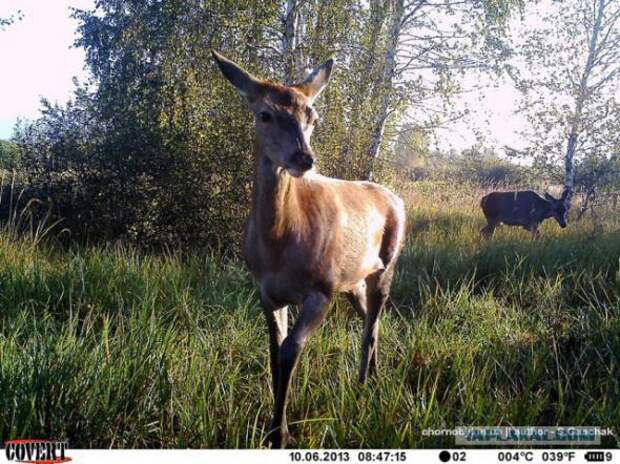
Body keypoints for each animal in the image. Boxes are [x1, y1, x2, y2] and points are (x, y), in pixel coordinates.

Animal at [212, 51, 406, 450]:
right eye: (264, 114)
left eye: (312, 116)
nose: (304, 158)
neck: (278, 247)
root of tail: (398, 198)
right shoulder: (266, 292)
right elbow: (274, 351)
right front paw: (274, 426)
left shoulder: (321, 289)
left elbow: (290, 351)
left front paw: (280, 434)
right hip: (353, 281)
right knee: (371, 318)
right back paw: (372, 377)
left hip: (387, 265)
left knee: (373, 323)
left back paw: (366, 384)